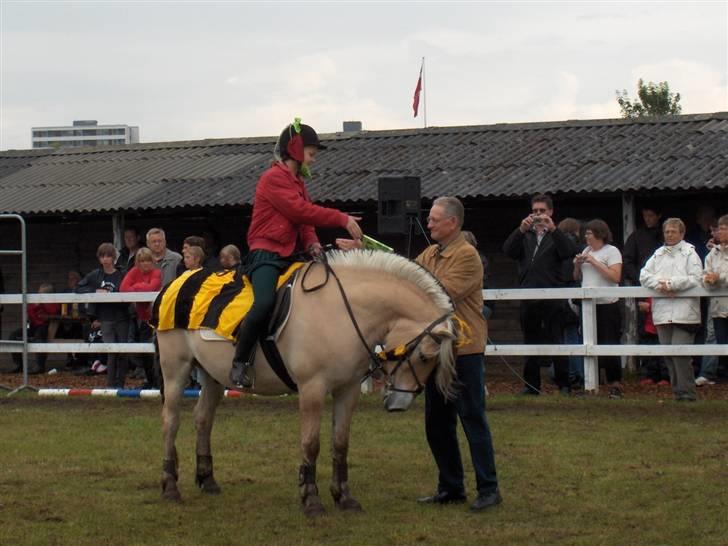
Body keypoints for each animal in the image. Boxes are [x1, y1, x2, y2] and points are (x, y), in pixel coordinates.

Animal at [156, 249, 458, 516]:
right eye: (423, 355)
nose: (399, 403)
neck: (341, 311)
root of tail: (179, 280)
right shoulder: (312, 388)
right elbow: (311, 443)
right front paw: (311, 499)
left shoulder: (348, 389)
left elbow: (341, 443)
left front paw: (344, 498)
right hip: (176, 369)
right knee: (171, 421)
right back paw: (170, 487)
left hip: (212, 375)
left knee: (203, 419)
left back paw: (207, 479)